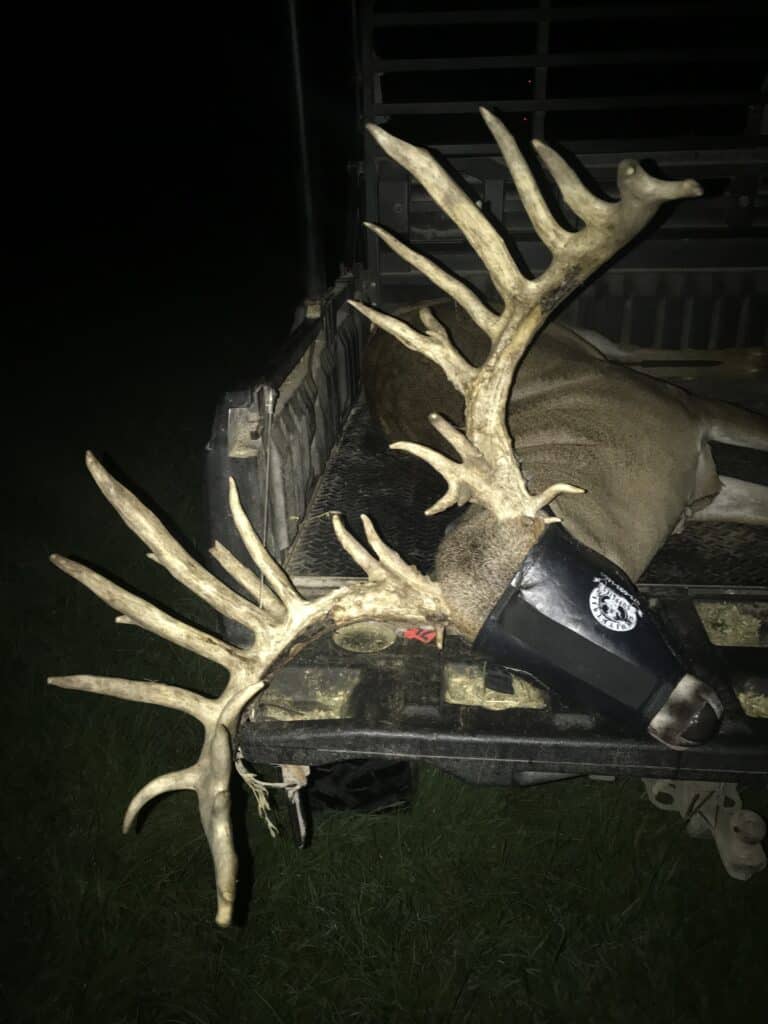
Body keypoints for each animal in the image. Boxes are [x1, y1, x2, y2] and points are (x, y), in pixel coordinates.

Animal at [49, 108, 768, 925]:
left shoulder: (688, 421)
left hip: (618, 356)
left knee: (669, 356)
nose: (695, 723)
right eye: (522, 663)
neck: (616, 484)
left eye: (592, 581)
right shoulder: (701, 486)